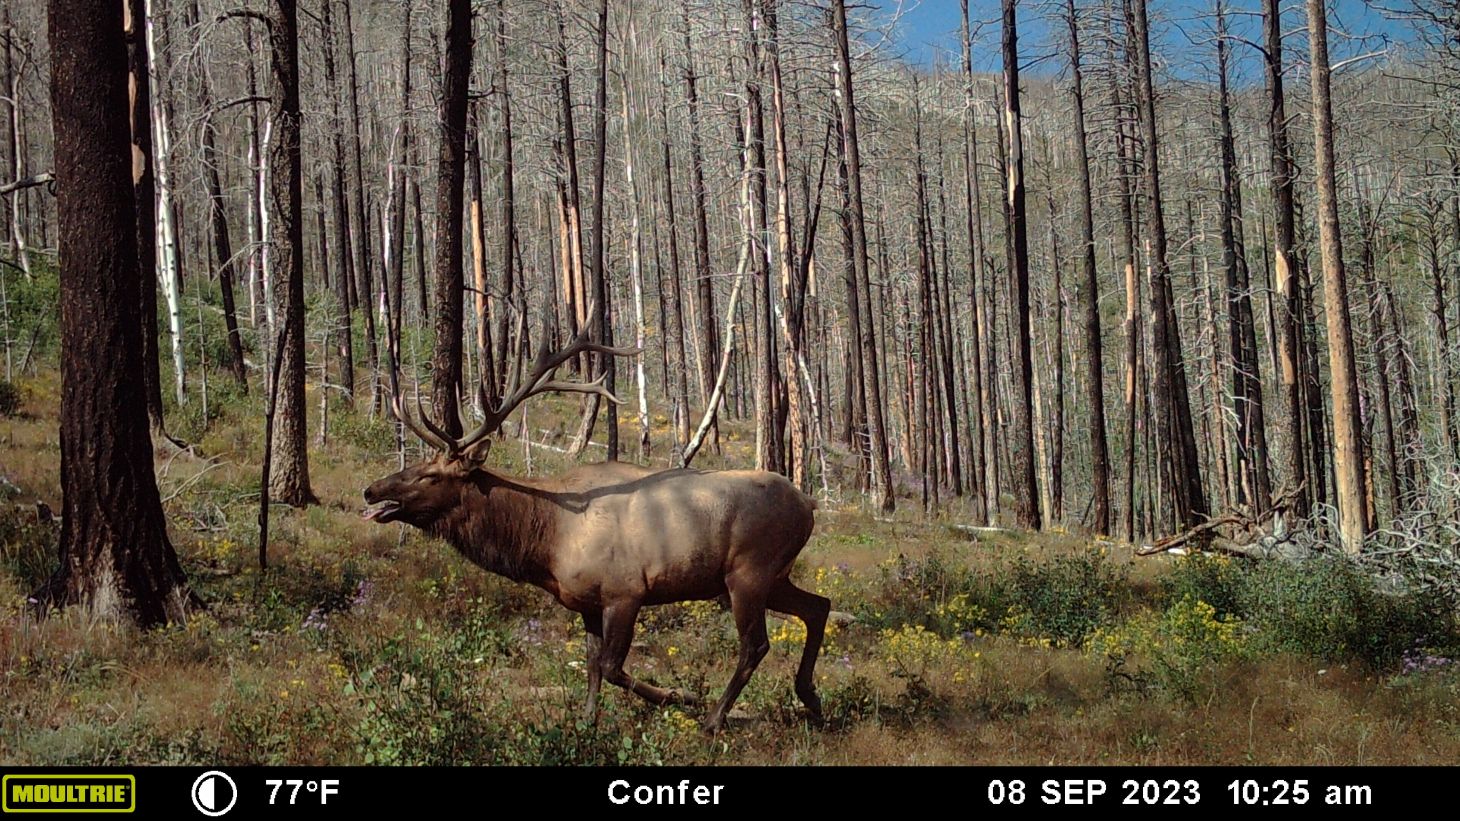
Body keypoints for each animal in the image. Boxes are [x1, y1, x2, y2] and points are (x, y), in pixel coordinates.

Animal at [361, 320, 829, 733]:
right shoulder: (586, 600)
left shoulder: (626, 592)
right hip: (775, 576)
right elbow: (591, 665)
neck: (546, 541)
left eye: (430, 475)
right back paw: (810, 697)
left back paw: (716, 718)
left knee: (755, 644)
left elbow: (611, 665)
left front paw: (680, 696)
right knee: (818, 606)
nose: (370, 491)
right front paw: (587, 721)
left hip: (748, 573)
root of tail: (809, 504)